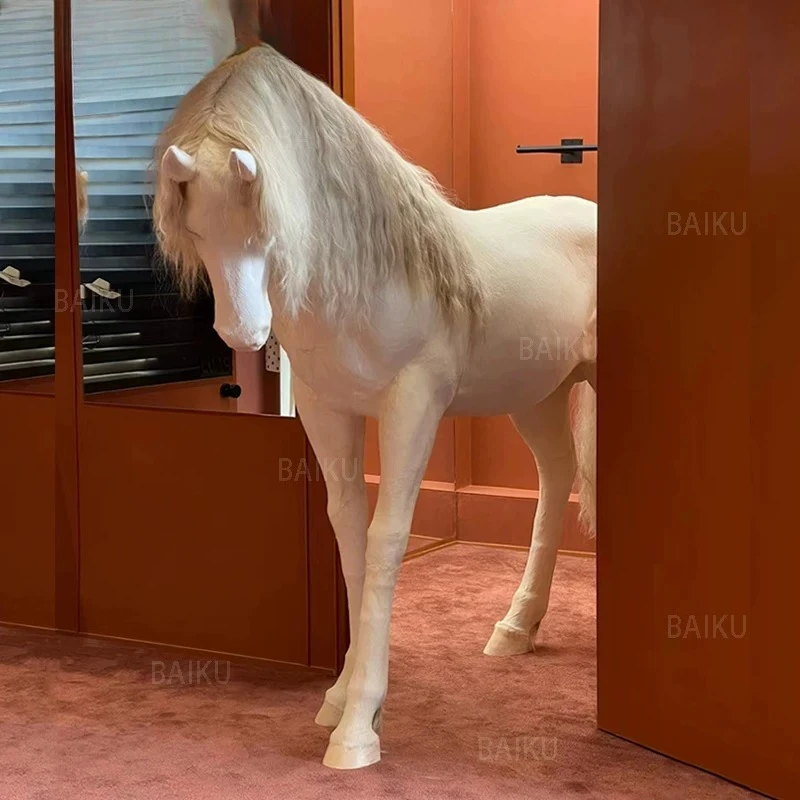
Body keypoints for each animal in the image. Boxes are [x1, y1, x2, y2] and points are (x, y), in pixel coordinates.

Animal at [152, 43, 597, 770]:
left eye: (269, 230)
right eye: (195, 230)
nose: (243, 334)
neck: (376, 277)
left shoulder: (413, 405)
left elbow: (387, 538)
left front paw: (359, 728)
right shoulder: (328, 410)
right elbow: (349, 533)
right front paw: (342, 697)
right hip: (537, 396)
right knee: (557, 478)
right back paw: (516, 626)